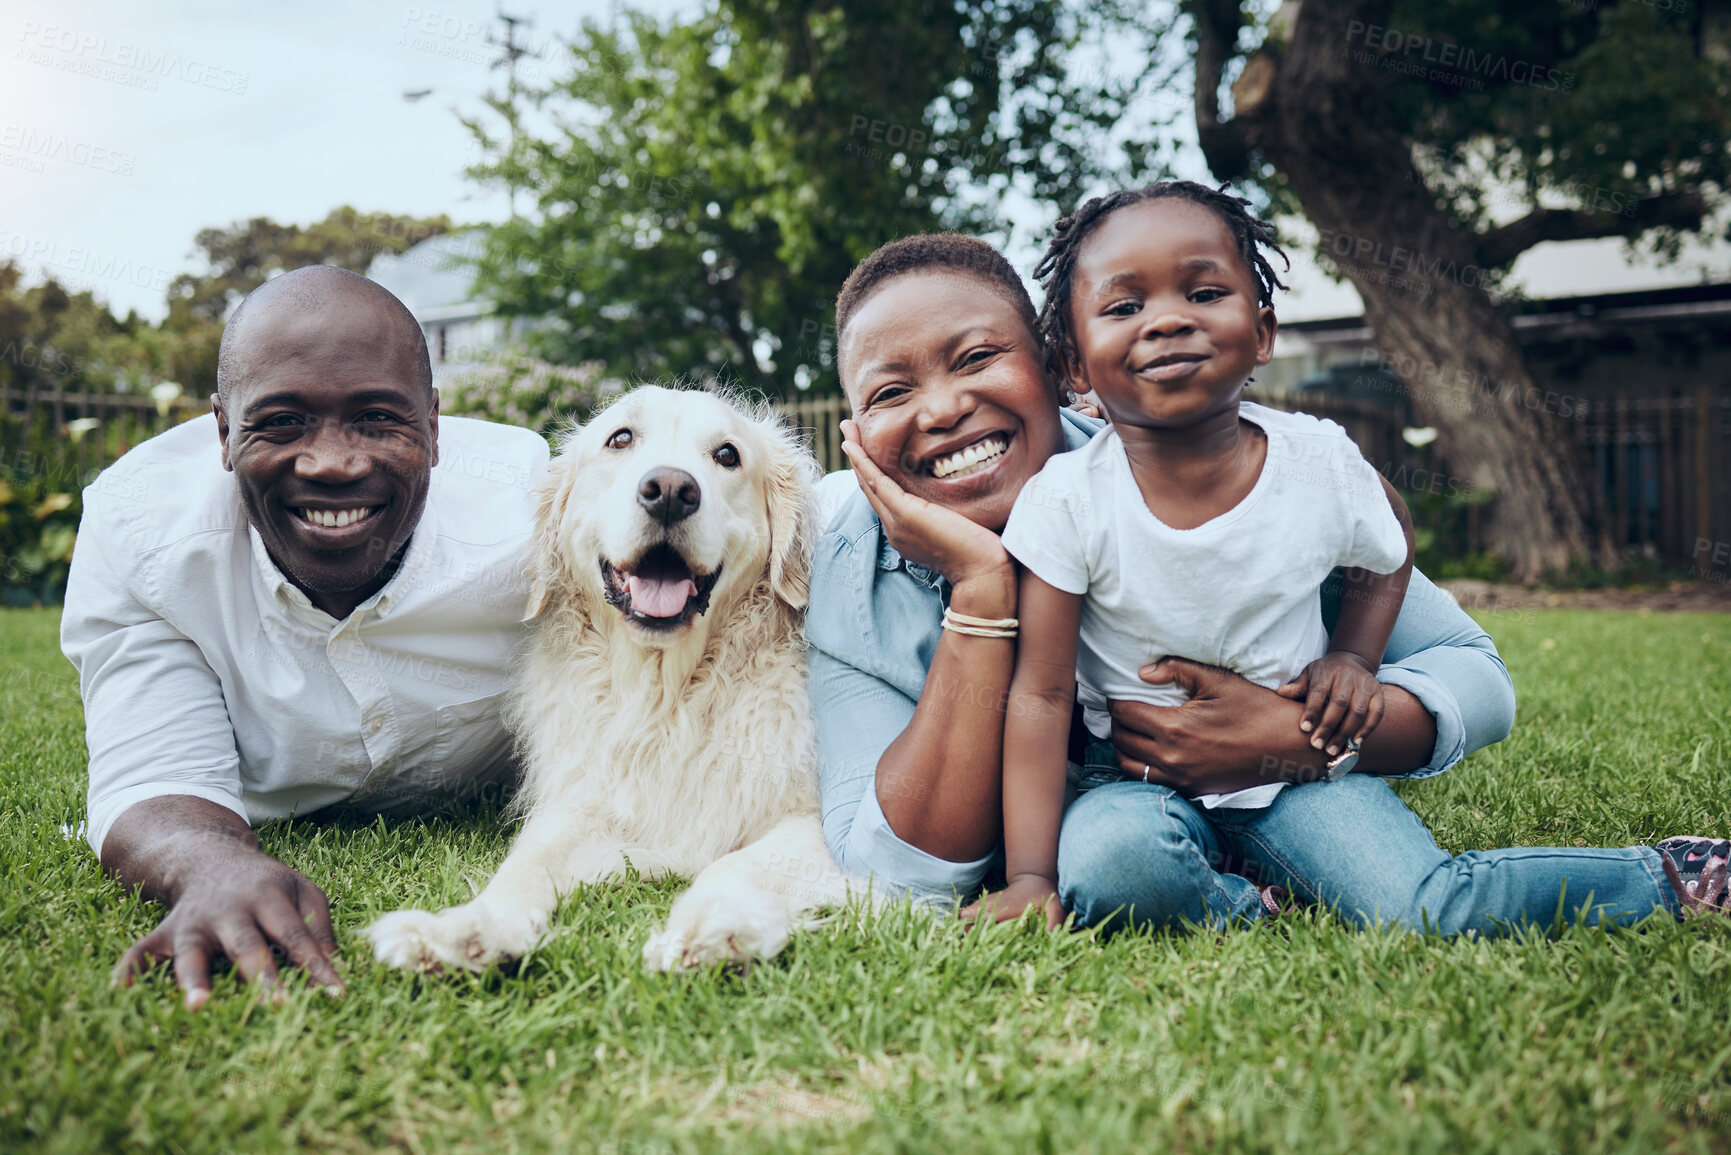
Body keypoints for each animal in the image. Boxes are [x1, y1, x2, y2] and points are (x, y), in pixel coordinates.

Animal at [368, 384, 855, 969]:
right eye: (620, 439)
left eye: (727, 454)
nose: (670, 491)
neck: (667, 694)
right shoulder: (591, 804)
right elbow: (525, 864)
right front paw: (464, 930)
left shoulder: (825, 825)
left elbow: (735, 864)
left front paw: (712, 928)